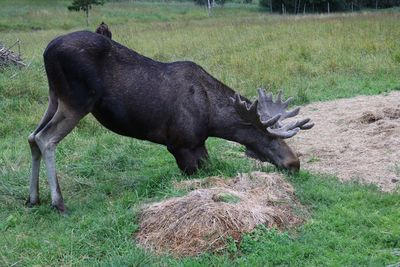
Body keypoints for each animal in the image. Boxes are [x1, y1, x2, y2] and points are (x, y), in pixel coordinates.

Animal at [26, 25, 314, 214]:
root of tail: (46, 51)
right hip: (77, 100)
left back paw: (33, 198)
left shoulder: (198, 143)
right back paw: (58, 202)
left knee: (31, 137)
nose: (294, 163)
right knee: (46, 139)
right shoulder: (180, 144)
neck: (213, 120)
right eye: (269, 137)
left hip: (54, 98)